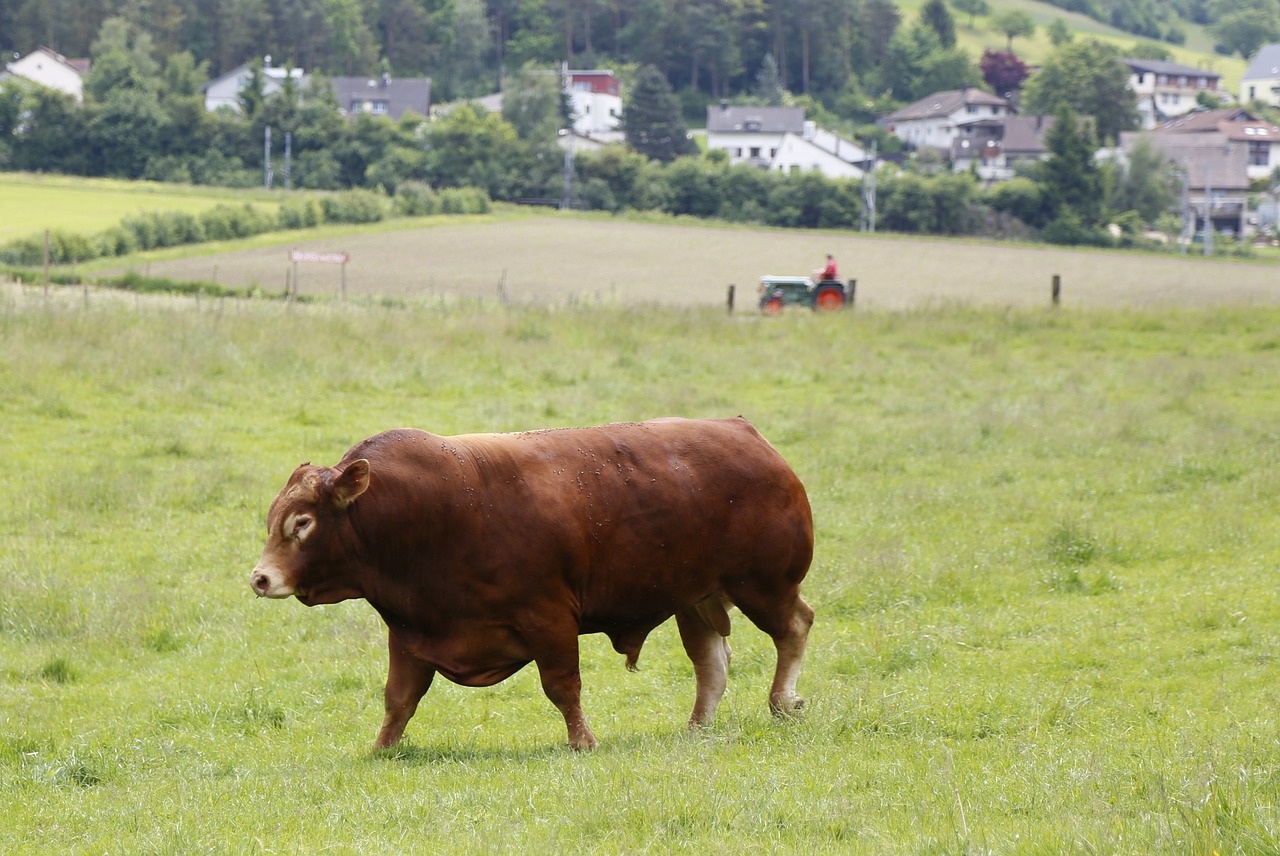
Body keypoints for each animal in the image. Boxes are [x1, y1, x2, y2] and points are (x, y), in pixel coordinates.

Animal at [244, 417, 814, 752]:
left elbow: (563, 687)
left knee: (795, 627)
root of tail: (744, 432)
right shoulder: (410, 634)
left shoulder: (549, 619)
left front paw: (583, 742)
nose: (260, 577)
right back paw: (698, 727)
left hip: (763, 586)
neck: (429, 514)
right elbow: (398, 699)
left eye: (302, 523)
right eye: (275, 519)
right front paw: (382, 749)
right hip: (694, 599)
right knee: (711, 661)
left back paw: (782, 701)